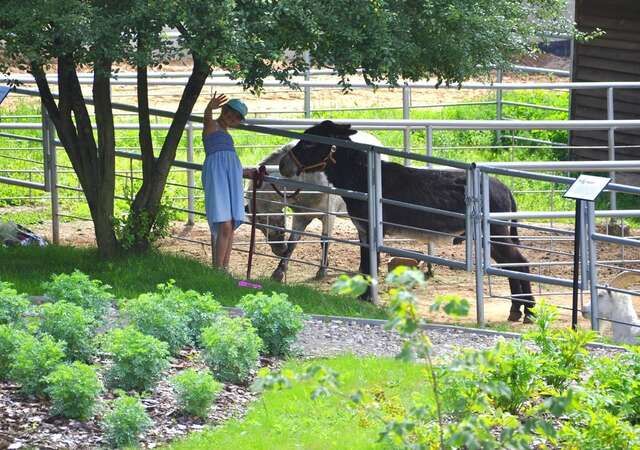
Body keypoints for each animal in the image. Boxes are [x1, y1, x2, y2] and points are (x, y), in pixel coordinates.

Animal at [280, 120, 536, 324]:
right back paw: (516, 311)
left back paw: (530, 312)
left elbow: (369, 264)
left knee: (521, 263)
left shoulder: (370, 229)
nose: (283, 166)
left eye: (309, 144)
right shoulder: (364, 230)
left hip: (496, 234)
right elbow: (366, 264)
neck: (363, 177)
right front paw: (364, 297)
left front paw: (367, 299)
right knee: (511, 266)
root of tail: (505, 188)